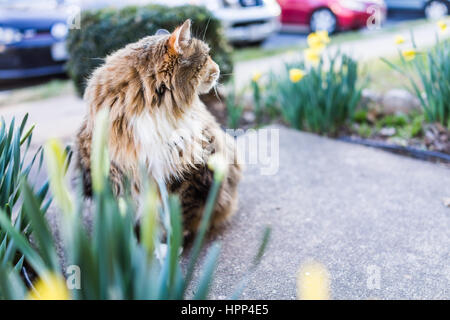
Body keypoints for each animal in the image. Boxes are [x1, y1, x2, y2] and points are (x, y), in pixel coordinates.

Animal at [76, 19, 243, 235]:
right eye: (206, 57)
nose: (219, 69)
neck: (151, 103)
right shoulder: (120, 173)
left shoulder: (189, 169)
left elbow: (178, 213)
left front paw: (174, 239)